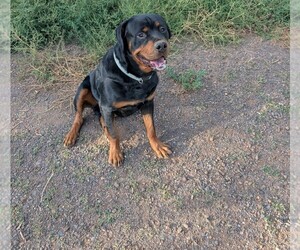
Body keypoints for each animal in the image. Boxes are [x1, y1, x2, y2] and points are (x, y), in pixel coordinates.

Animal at [63, 13, 171, 166]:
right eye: (141, 35)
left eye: (162, 29)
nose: (162, 45)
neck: (136, 77)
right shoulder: (107, 108)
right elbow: (114, 135)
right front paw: (115, 153)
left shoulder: (148, 103)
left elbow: (151, 129)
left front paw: (157, 146)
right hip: (82, 89)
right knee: (79, 117)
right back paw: (71, 135)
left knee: (100, 119)